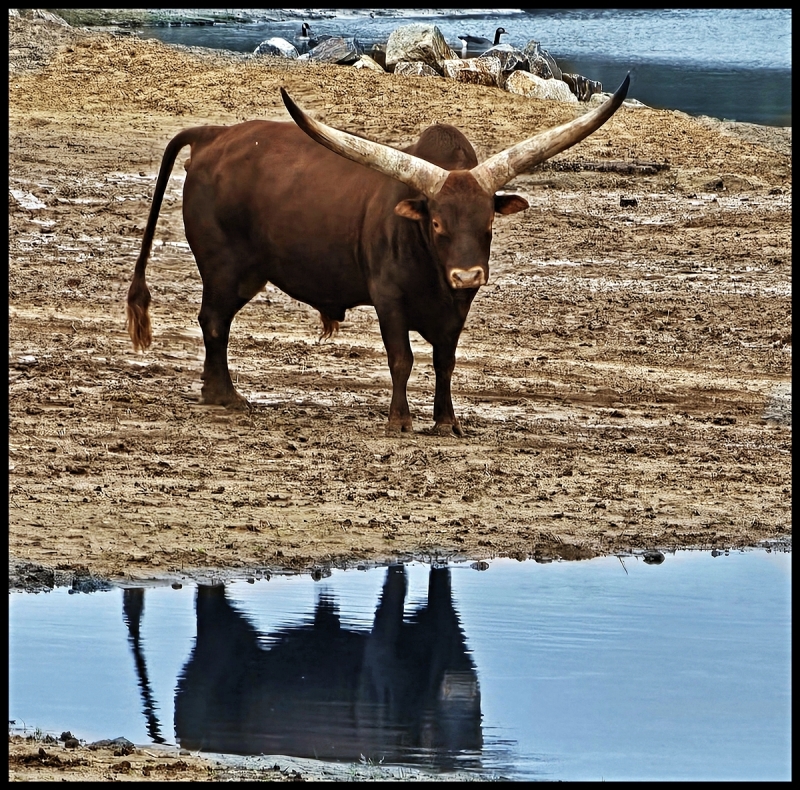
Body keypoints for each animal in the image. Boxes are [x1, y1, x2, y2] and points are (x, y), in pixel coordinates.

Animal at [128, 76, 628, 436]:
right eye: (437, 223)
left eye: (487, 223)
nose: (467, 275)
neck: (432, 270)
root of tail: (214, 135)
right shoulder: (389, 299)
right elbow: (401, 359)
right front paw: (400, 421)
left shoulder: (457, 308)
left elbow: (445, 362)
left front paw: (446, 422)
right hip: (223, 266)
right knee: (213, 320)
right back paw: (223, 395)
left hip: (247, 273)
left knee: (217, 319)